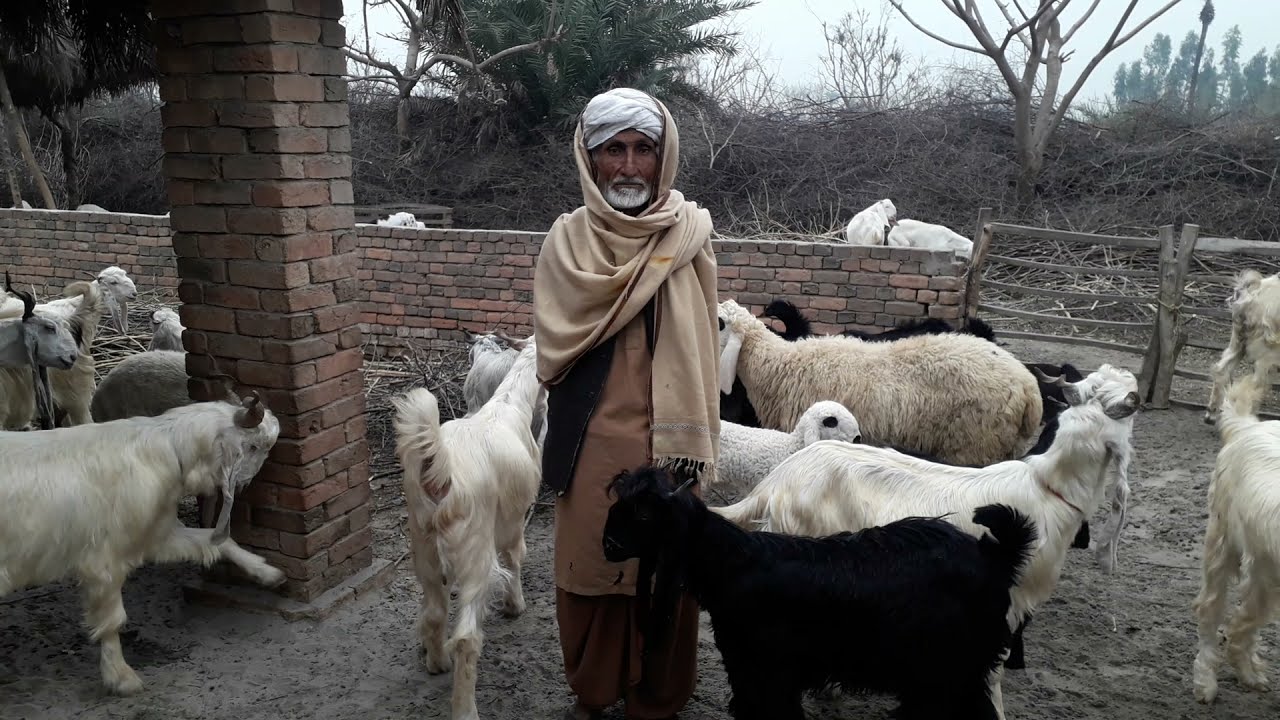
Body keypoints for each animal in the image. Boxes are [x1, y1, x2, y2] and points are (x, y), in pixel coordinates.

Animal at [0, 389, 283, 695]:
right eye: (254, 445)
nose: (245, 485)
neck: (165, 450)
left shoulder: (155, 535)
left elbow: (217, 542)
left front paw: (269, 573)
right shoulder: (104, 561)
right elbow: (112, 620)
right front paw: (121, 677)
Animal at [391, 340, 543, 720]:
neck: (509, 404)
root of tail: (440, 473)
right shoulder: (513, 518)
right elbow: (515, 557)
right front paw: (515, 605)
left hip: (424, 547)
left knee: (434, 613)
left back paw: (436, 662)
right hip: (475, 552)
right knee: (466, 637)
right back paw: (465, 707)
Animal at [604, 465, 1035, 720]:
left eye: (644, 514)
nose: (607, 544)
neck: (736, 564)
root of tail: (996, 555)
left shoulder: (770, 670)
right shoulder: (747, 669)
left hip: (948, 667)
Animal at [1192, 372, 1280, 703]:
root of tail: (1248, 427)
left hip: (1264, 566)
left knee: (1246, 618)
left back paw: (1250, 673)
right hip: (1222, 538)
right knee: (1211, 608)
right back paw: (1206, 684)